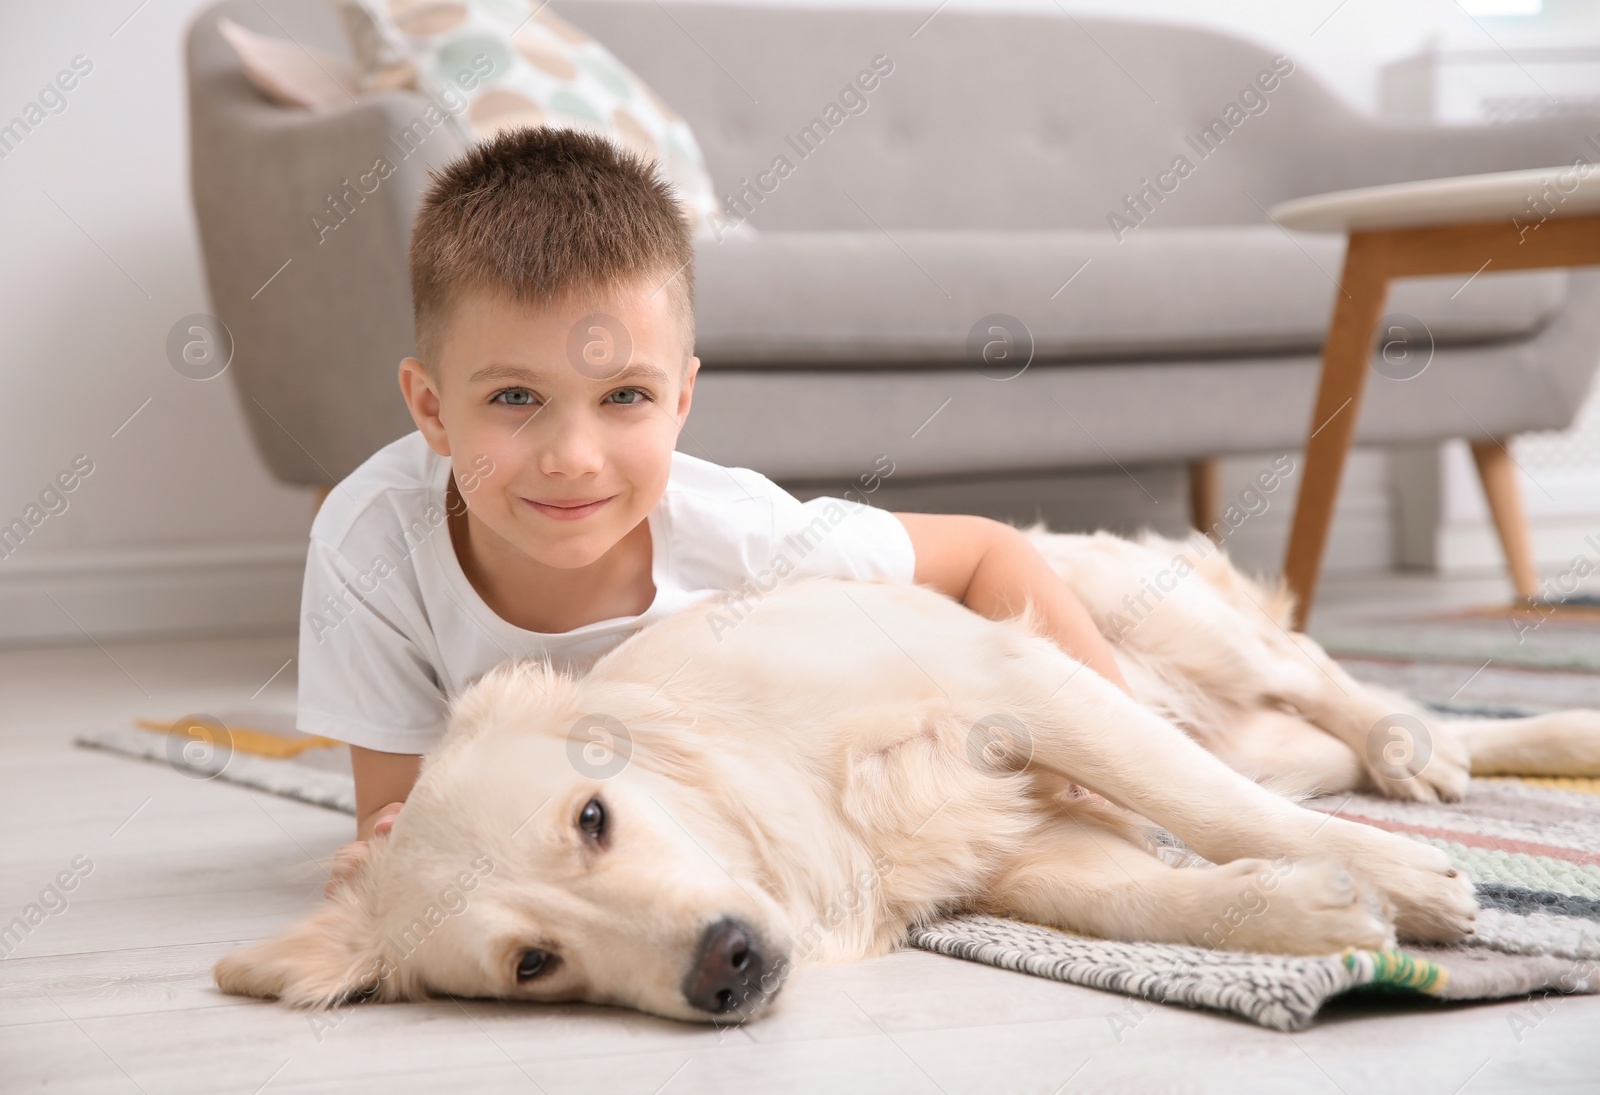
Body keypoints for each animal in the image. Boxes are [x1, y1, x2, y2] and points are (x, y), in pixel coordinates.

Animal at [216, 525, 1600, 1024]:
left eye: (594, 817)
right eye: (532, 965)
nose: (724, 967)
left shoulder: (1019, 683)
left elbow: (1202, 813)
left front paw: (1402, 886)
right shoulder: (1027, 854)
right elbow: (1148, 890)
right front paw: (1312, 911)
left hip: (1149, 619)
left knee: (1324, 685)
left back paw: (1418, 755)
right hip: (1242, 723)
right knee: (1326, 742)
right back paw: (1524, 742)